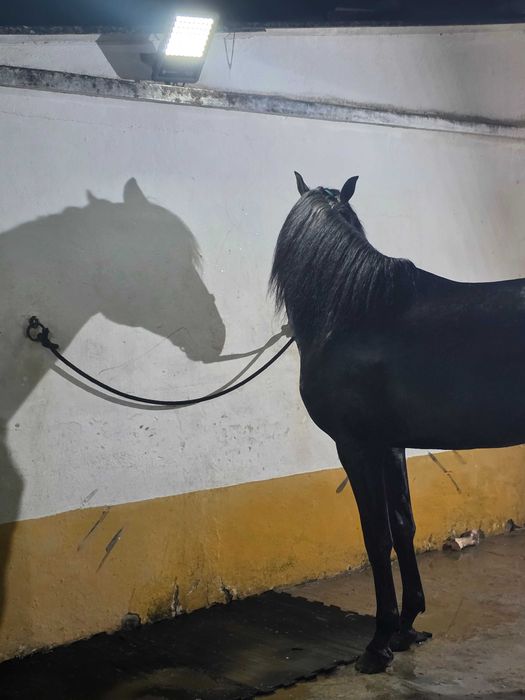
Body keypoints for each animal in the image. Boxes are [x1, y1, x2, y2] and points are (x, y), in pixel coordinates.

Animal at [270, 171, 525, 674]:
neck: (350, 314)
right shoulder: (390, 444)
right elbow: (403, 524)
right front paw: (407, 627)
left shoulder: (355, 445)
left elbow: (376, 535)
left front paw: (379, 641)